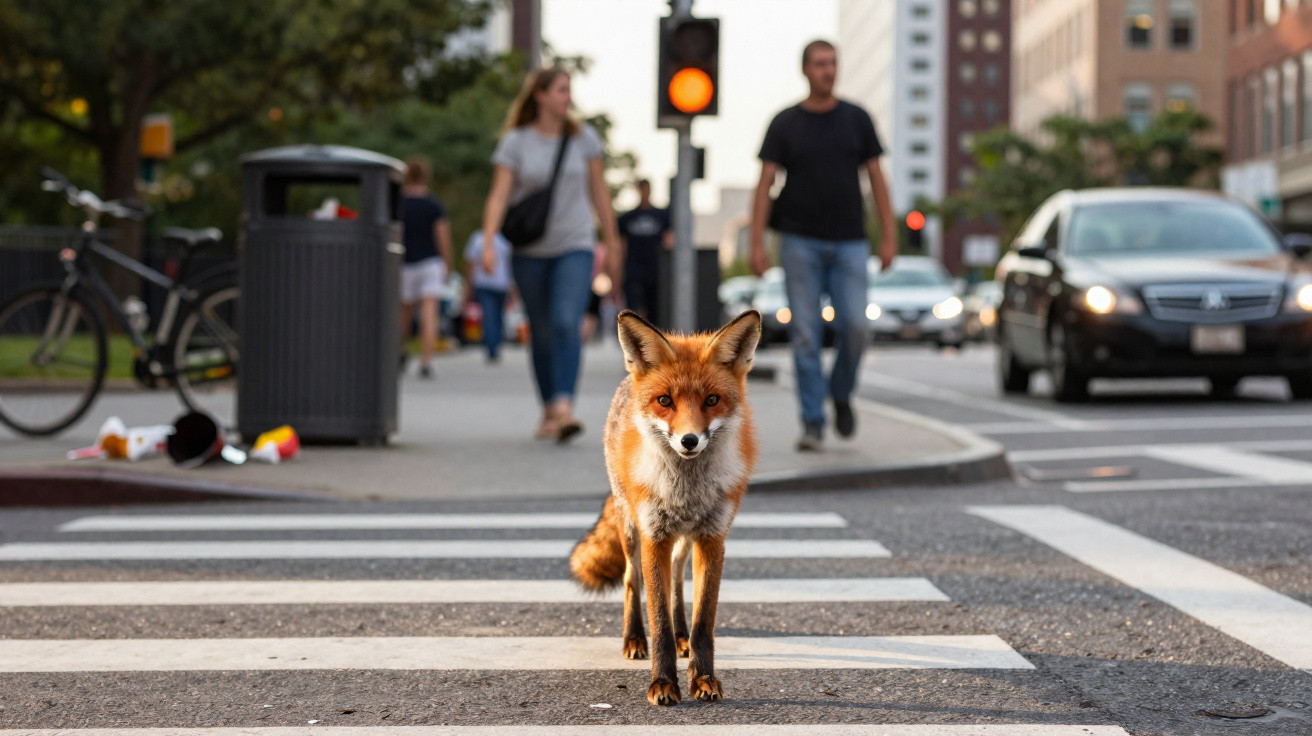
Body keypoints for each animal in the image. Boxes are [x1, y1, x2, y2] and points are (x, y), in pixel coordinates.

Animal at [570, 308, 761, 706]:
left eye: (712, 400)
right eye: (665, 401)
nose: (689, 440)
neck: (685, 491)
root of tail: (626, 383)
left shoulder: (712, 539)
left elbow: (704, 621)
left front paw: (703, 678)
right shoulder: (654, 536)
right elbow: (657, 618)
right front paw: (663, 683)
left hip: (683, 541)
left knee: (676, 581)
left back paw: (681, 636)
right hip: (631, 529)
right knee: (632, 580)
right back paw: (633, 639)